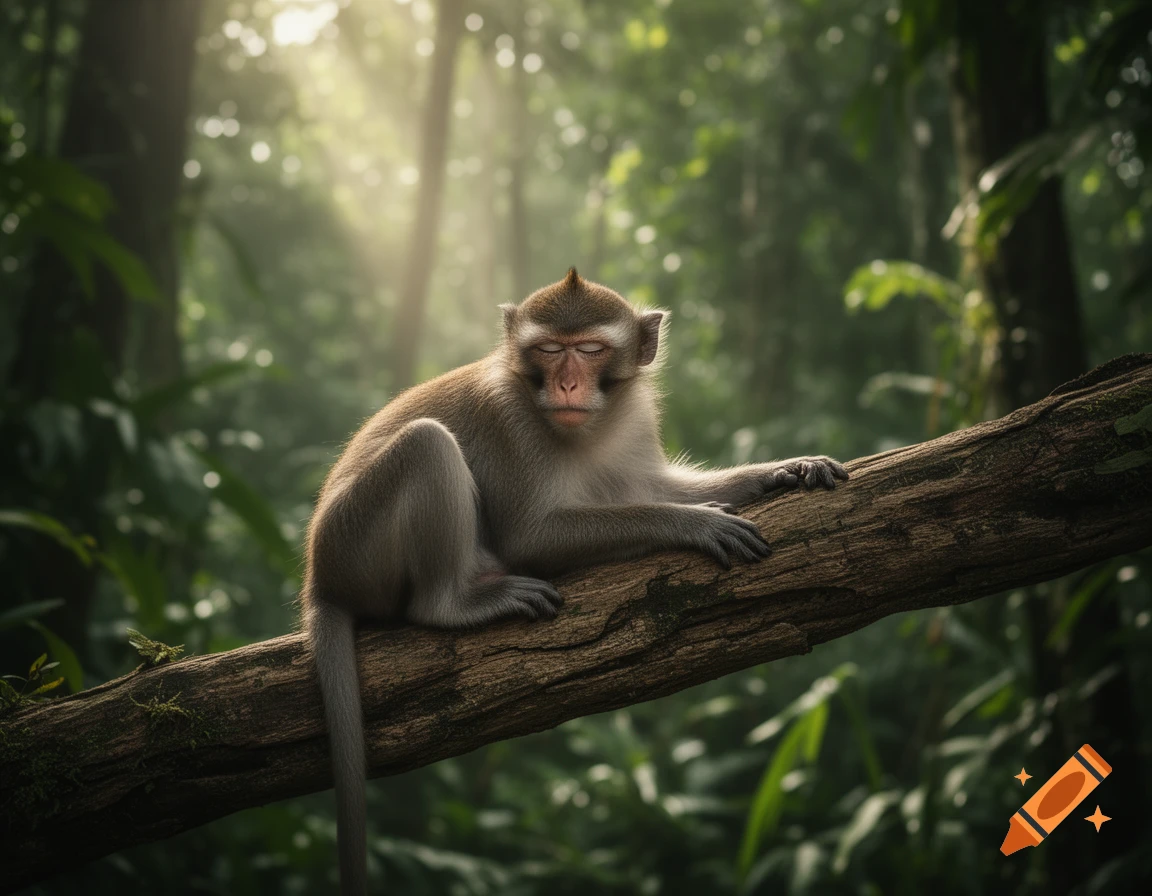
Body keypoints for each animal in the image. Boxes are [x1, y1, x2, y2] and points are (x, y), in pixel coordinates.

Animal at [301, 268, 848, 895]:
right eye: (547, 350)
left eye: (589, 350)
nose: (565, 384)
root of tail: (318, 575)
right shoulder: (509, 421)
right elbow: (530, 537)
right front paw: (695, 523)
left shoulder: (635, 421)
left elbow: (651, 486)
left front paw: (787, 469)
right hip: (357, 540)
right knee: (426, 445)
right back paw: (456, 602)